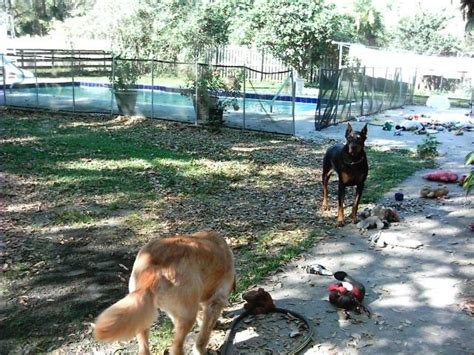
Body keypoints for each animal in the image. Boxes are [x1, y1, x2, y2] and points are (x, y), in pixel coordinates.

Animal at [95, 231, 236, 355]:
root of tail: (154, 268)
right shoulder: (216, 301)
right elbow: (204, 334)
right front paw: (200, 349)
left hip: (143, 316)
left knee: (144, 350)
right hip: (187, 316)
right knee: (176, 348)